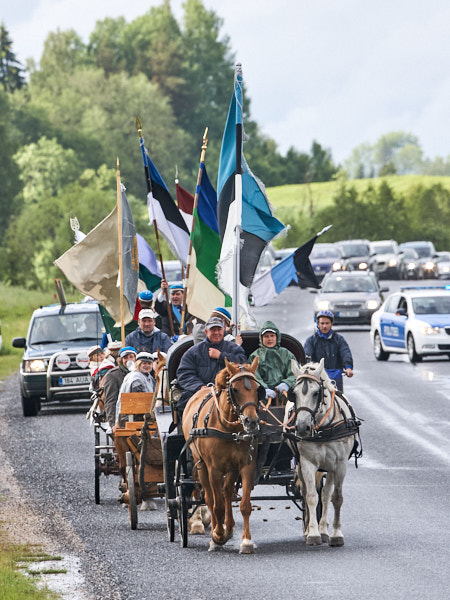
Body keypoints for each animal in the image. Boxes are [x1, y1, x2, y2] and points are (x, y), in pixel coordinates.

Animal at [182, 356, 260, 552]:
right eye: (235, 389)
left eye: (258, 389)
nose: (251, 421)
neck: (229, 429)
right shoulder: (214, 469)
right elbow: (216, 506)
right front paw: (217, 536)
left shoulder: (246, 465)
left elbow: (245, 505)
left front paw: (246, 541)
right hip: (201, 465)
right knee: (210, 498)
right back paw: (215, 532)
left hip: (231, 469)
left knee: (226, 493)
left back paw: (229, 527)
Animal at [286, 358, 360, 548]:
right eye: (293, 393)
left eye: (316, 393)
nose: (302, 427)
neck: (323, 428)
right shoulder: (307, 463)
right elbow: (311, 496)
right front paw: (312, 533)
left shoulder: (340, 464)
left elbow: (336, 497)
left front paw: (335, 534)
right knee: (308, 492)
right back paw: (310, 529)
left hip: (330, 467)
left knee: (326, 495)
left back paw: (324, 529)